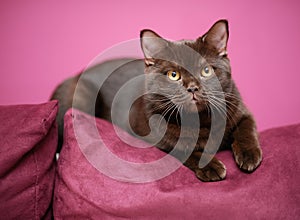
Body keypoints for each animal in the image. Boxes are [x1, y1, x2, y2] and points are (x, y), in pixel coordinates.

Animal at [52, 19, 262, 182]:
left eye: (206, 70)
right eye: (173, 75)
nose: (192, 87)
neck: (201, 120)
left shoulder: (240, 109)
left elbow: (246, 128)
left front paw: (250, 155)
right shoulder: (155, 136)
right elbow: (181, 148)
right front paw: (210, 166)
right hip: (81, 96)